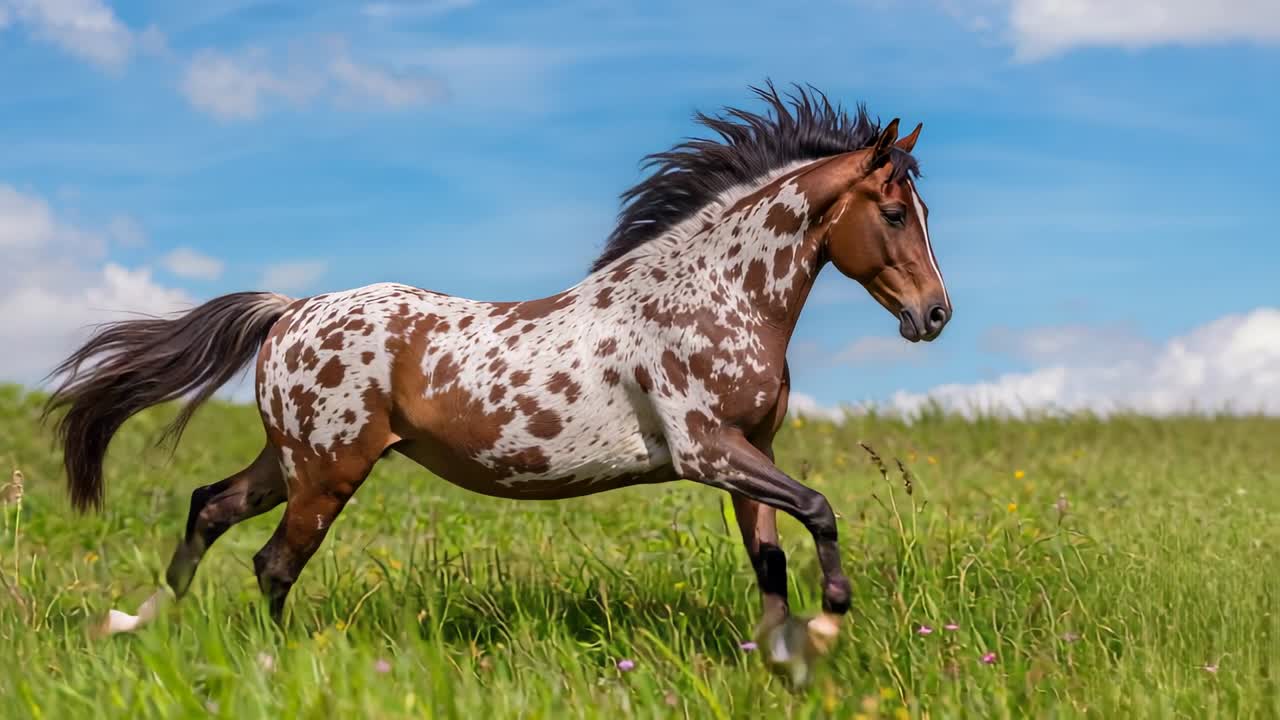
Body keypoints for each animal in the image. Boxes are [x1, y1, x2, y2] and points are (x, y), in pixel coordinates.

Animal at [43, 83, 950, 683]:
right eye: (895, 213)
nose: (935, 315)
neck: (712, 296)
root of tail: (290, 309)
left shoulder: (746, 453)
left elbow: (768, 560)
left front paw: (786, 663)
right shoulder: (707, 450)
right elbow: (820, 511)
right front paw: (829, 623)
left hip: (292, 461)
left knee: (209, 507)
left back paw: (139, 623)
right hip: (329, 471)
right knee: (272, 562)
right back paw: (276, 662)